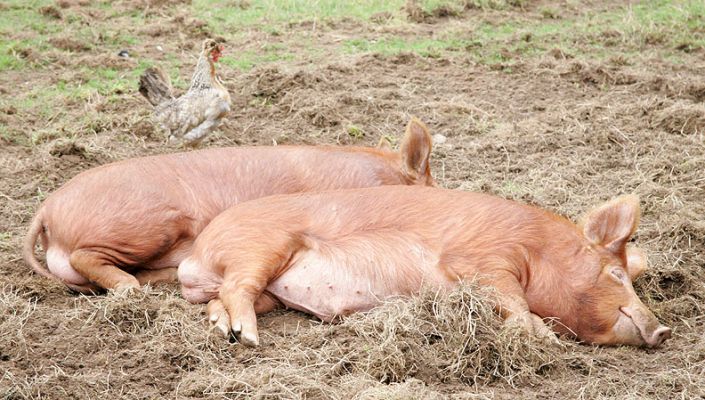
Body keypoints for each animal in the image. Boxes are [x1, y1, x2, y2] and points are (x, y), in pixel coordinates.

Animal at [179, 185, 671, 348]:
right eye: (616, 275)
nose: (664, 329)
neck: (538, 248)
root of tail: (196, 255)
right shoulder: (482, 257)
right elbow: (510, 297)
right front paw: (546, 338)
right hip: (259, 245)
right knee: (237, 288)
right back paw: (249, 338)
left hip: (263, 285)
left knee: (222, 299)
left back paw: (225, 330)